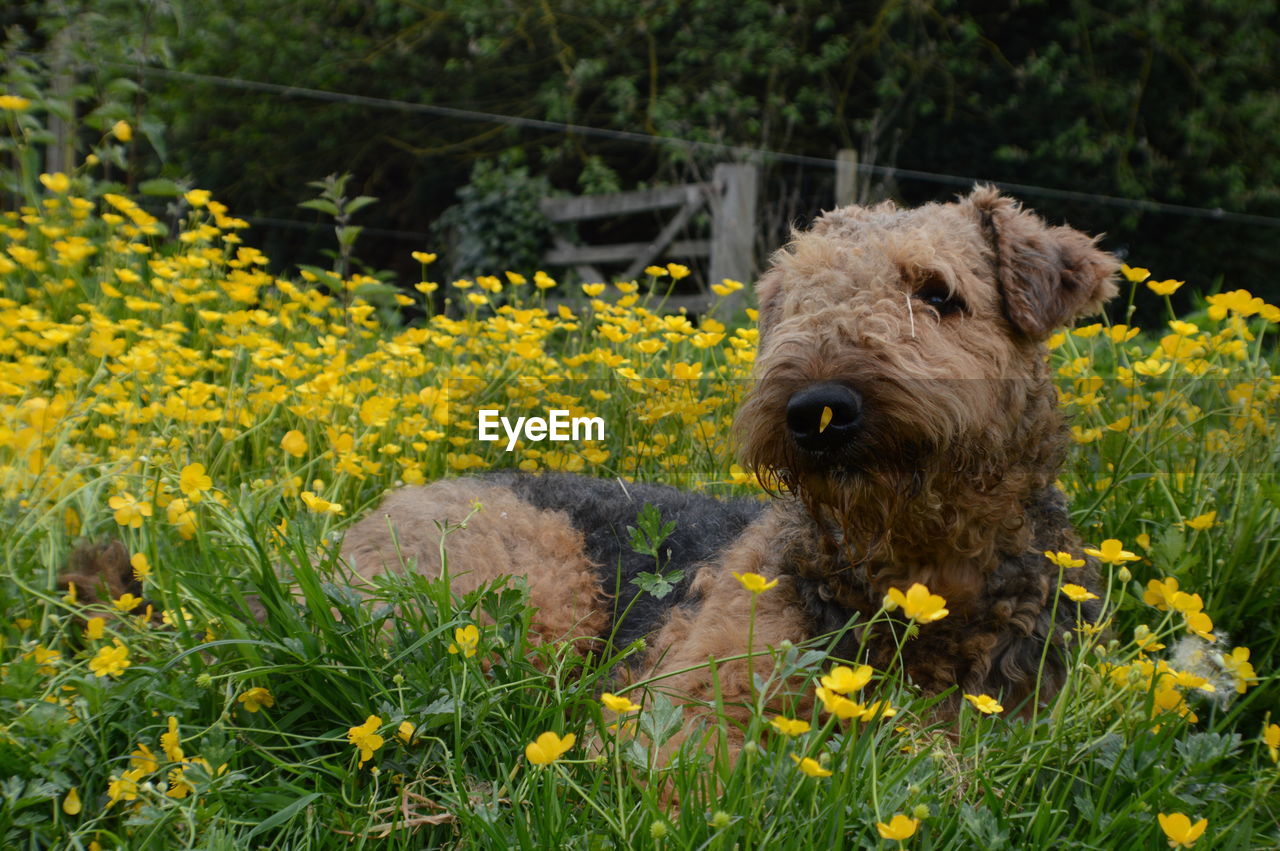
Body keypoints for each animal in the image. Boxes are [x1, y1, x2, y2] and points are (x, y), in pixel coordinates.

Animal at [335, 182, 1116, 726]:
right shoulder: (695, 698)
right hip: (530, 603)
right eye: (798, 298)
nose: (817, 411)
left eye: (939, 293)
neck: (913, 572)